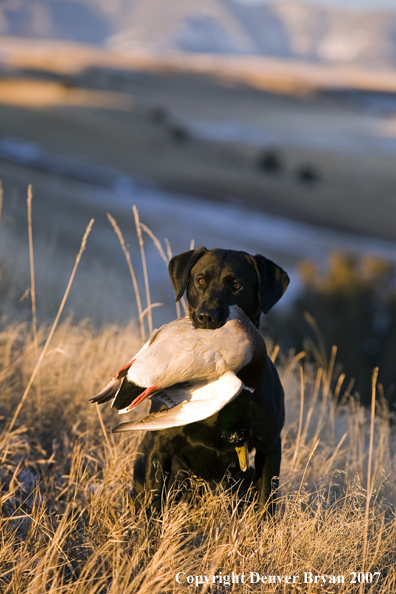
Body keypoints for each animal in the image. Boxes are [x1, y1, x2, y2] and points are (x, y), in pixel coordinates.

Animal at [133, 245, 288, 508]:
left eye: (236, 285)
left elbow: (266, 502)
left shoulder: (270, 445)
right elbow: (153, 503)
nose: (206, 316)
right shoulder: (161, 446)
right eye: (200, 280)